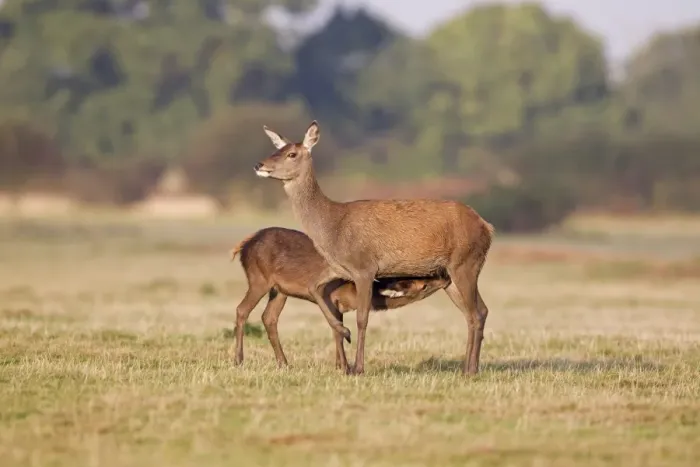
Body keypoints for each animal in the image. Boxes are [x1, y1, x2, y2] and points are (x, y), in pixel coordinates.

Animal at [230, 226, 450, 370]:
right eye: (424, 281)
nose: (445, 276)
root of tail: (242, 246)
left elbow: (336, 329)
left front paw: (340, 364)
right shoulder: (333, 297)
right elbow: (337, 329)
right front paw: (345, 365)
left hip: (280, 290)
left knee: (269, 317)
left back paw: (283, 363)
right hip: (259, 279)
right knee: (242, 309)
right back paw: (239, 359)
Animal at [254, 121, 494, 376]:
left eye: (292, 154)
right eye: (277, 149)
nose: (260, 165)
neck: (333, 228)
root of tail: (487, 227)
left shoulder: (365, 268)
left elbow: (362, 317)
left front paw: (357, 367)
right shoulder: (339, 268)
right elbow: (315, 289)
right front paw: (344, 334)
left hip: (466, 262)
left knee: (475, 313)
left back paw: (471, 369)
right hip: (451, 273)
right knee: (478, 312)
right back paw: (468, 367)